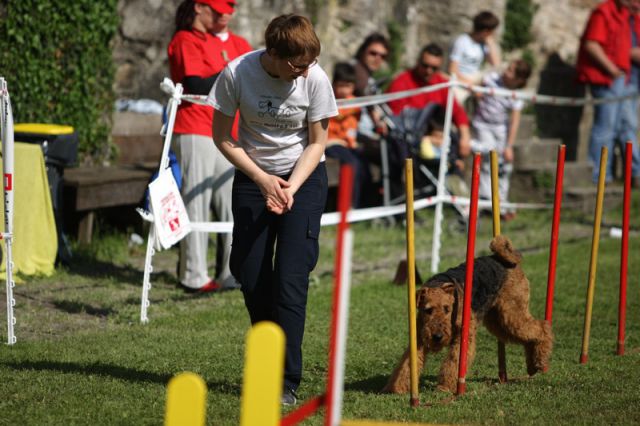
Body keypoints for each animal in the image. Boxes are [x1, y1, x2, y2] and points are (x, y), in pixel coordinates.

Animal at [382, 235, 552, 394]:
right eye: (428, 310)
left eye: (447, 309)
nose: (437, 337)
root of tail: (506, 261)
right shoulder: (419, 338)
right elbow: (407, 363)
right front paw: (396, 387)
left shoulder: (464, 336)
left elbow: (453, 361)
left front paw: (444, 387)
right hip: (499, 322)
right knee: (529, 338)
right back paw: (532, 367)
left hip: (512, 314)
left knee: (541, 328)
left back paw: (541, 361)